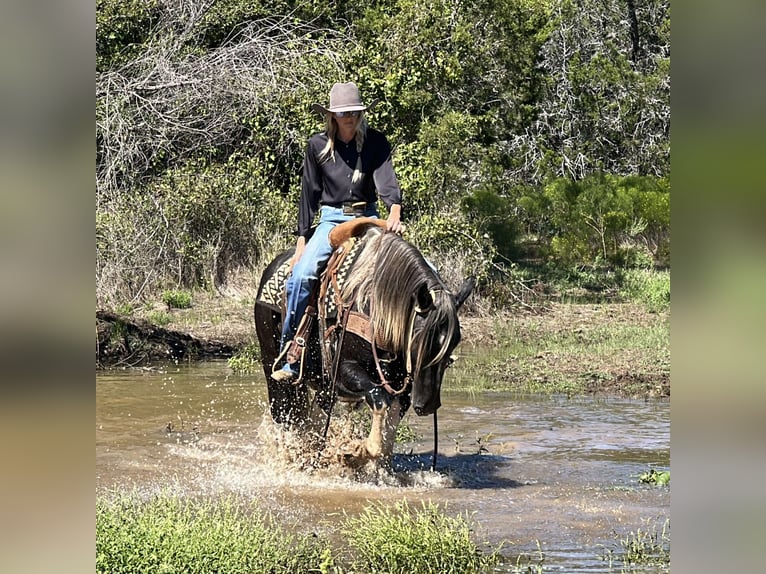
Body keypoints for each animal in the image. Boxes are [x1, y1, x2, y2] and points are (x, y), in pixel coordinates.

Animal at [254, 220, 474, 468]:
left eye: (454, 342)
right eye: (419, 340)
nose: (428, 405)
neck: (376, 308)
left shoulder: (401, 387)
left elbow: (388, 435)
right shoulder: (344, 370)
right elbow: (379, 399)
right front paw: (354, 452)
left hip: (323, 387)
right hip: (274, 370)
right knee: (285, 415)